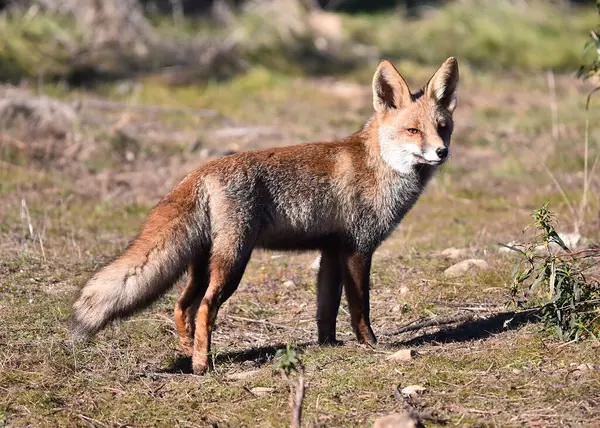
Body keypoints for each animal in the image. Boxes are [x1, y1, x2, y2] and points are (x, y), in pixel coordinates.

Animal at [70, 57, 460, 374]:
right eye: (413, 130)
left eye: (442, 127)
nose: (442, 152)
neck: (380, 166)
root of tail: (201, 170)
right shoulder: (357, 250)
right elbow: (359, 308)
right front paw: (371, 344)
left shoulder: (331, 252)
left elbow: (326, 309)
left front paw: (328, 345)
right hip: (233, 262)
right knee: (204, 309)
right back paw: (202, 365)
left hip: (204, 263)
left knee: (182, 307)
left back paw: (189, 350)